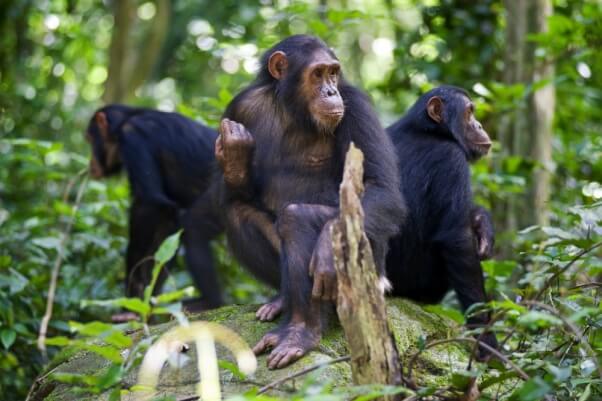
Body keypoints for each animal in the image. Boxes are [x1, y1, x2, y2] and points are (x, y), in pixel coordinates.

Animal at [84, 104, 223, 314]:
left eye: (91, 139)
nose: (90, 162)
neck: (124, 122)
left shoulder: (133, 138)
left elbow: (150, 206)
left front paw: (133, 295)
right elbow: (167, 226)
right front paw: (145, 303)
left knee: (193, 231)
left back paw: (210, 302)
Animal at [212, 36, 404, 368]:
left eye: (333, 73)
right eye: (317, 74)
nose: (331, 91)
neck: (293, 109)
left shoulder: (357, 107)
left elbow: (382, 188)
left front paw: (326, 246)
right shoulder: (240, 107)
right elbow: (236, 196)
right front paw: (235, 155)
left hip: (372, 276)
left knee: (297, 217)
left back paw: (301, 333)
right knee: (237, 212)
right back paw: (283, 304)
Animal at [384, 86, 496, 352]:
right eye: (469, 113)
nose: (478, 124)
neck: (428, 130)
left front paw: (483, 223)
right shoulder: (452, 161)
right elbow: (457, 240)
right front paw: (487, 341)